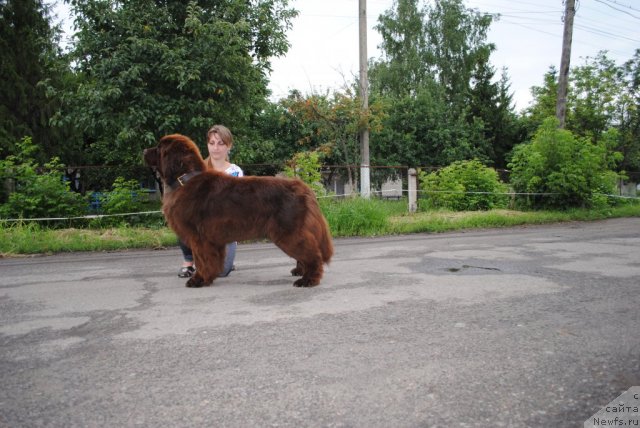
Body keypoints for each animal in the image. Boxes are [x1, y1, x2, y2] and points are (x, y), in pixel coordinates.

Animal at [144, 134, 332, 288]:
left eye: (159, 147)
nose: (145, 150)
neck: (184, 179)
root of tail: (303, 188)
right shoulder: (212, 239)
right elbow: (211, 260)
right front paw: (209, 277)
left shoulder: (199, 236)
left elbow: (202, 260)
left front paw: (198, 280)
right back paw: (300, 271)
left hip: (288, 231)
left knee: (312, 253)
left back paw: (308, 279)